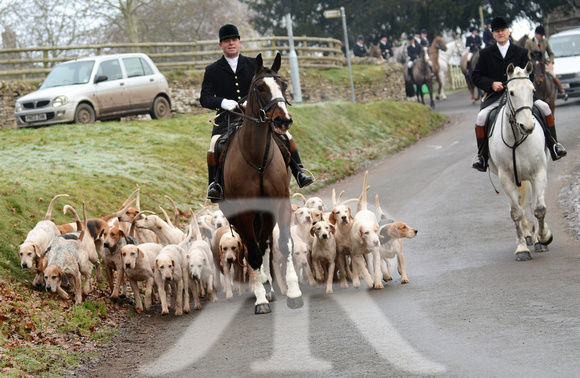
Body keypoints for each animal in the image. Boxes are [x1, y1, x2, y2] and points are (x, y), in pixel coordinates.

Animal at [218, 52, 304, 314]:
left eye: (283, 85)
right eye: (260, 87)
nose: (283, 120)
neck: (257, 158)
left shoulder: (280, 203)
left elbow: (284, 244)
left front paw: (294, 293)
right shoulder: (243, 213)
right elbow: (253, 253)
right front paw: (260, 300)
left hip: (266, 213)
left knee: (265, 243)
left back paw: (268, 283)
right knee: (253, 247)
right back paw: (263, 286)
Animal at [488, 63, 552, 262]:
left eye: (532, 90)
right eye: (511, 92)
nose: (528, 127)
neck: (517, 137)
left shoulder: (539, 173)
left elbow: (539, 208)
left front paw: (544, 237)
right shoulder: (506, 177)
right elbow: (515, 212)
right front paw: (522, 248)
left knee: (531, 204)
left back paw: (537, 237)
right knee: (517, 205)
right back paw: (527, 235)